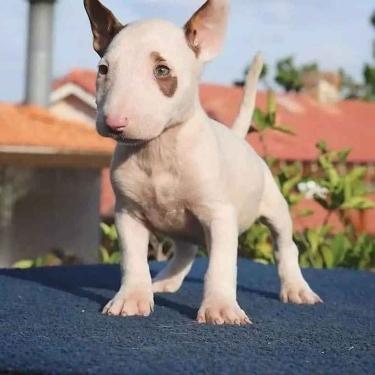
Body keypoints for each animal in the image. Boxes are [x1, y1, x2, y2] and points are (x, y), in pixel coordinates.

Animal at [83, 0, 322, 326]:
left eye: (162, 70)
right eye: (103, 70)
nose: (114, 123)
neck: (159, 150)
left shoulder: (219, 215)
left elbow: (220, 266)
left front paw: (220, 307)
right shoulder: (127, 214)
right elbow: (133, 261)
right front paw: (132, 298)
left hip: (275, 208)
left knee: (285, 246)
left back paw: (296, 288)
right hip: (181, 225)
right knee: (185, 252)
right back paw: (164, 282)